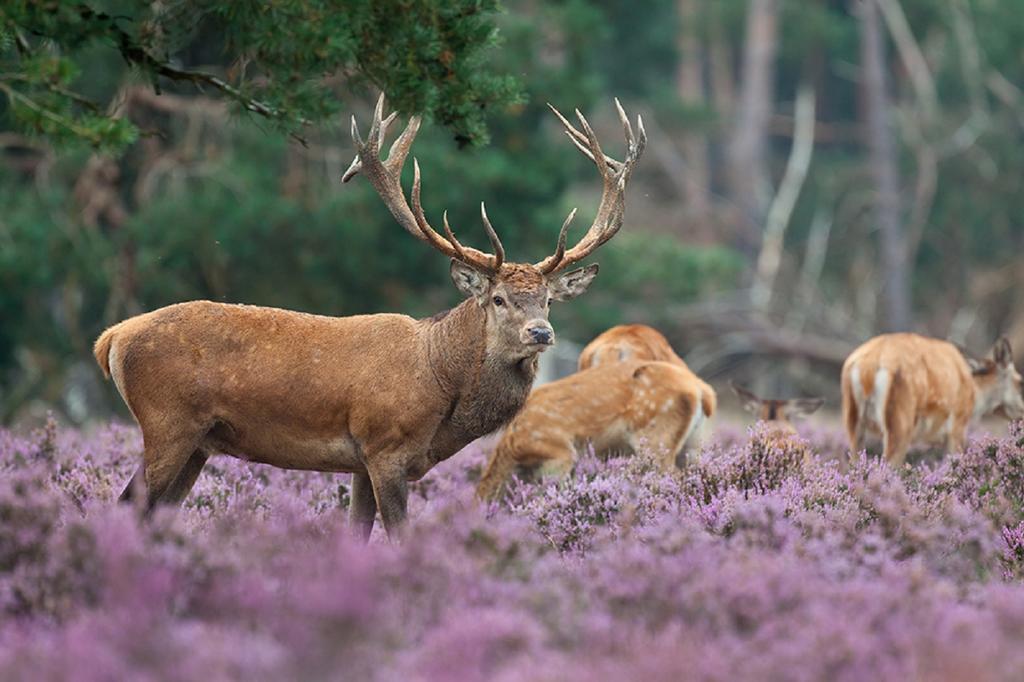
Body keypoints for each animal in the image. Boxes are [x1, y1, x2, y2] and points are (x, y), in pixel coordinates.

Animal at [92, 95, 643, 540]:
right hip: (168, 423)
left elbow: (357, 535)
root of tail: (112, 337)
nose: (541, 332)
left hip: (199, 444)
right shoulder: (385, 447)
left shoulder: (360, 462)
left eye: (548, 300)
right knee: (124, 505)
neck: (440, 383)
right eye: (499, 299)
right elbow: (399, 537)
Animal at [839, 331, 1024, 464]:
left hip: (852, 420)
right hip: (900, 420)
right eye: (1020, 381)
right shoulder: (957, 425)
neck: (975, 395)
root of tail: (867, 369)